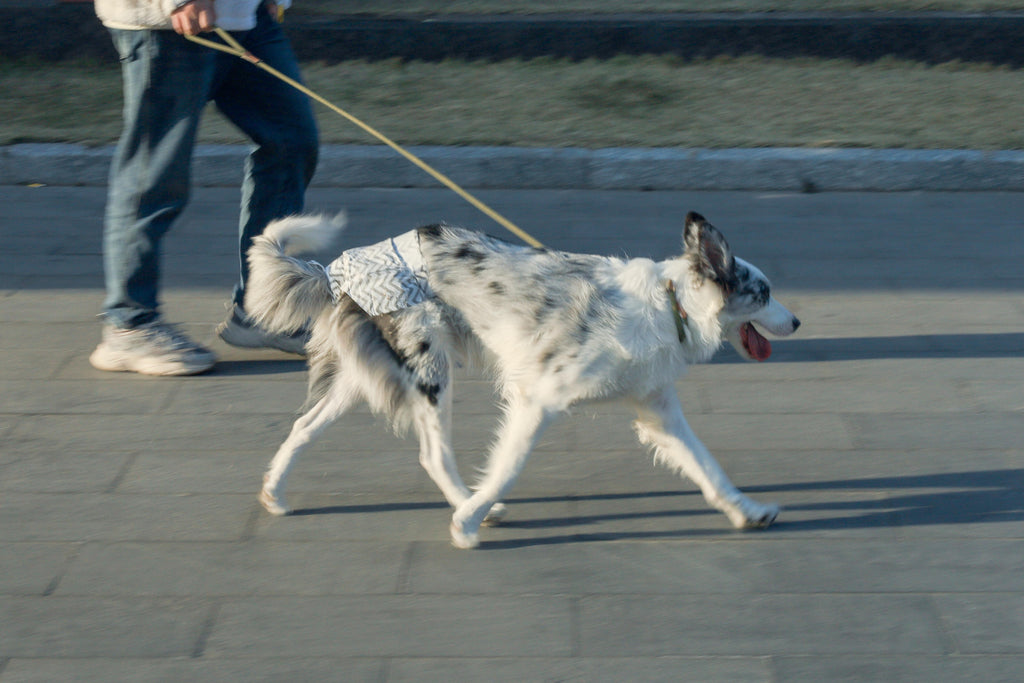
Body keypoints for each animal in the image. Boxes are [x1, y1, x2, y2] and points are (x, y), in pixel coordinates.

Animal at [245, 210, 798, 548]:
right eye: (765, 293)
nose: (795, 322)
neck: (670, 304)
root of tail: (335, 270)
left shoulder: (658, 411)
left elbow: (709, 468)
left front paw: (748, 512)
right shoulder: (538, 400)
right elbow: (507, 467)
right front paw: (466, 524)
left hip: (363, 379)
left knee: (303, 426)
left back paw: (274, 494)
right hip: (430, 371)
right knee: (432, 453)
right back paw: (472, 509)